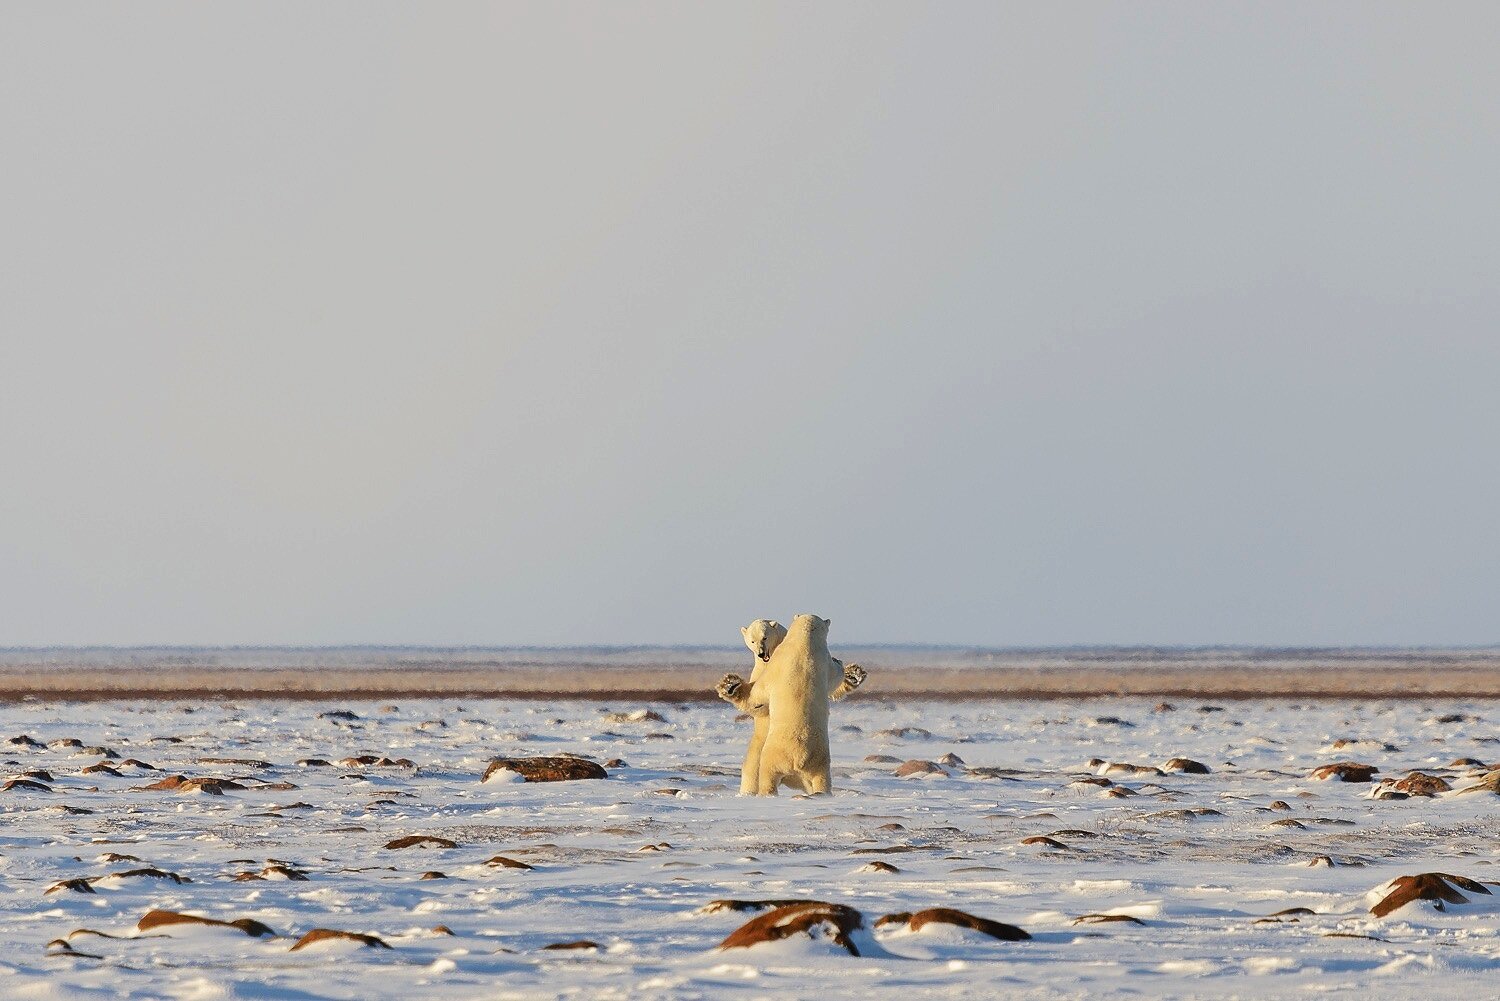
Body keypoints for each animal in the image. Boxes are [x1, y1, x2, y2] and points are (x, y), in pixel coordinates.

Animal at [717, 615, 870, 792]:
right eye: (752, 640)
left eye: (765, 637)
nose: (761, 653)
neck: (803, 645)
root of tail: (798, 762)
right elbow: (758, 706)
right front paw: (730, 685)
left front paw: (854, 674)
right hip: (771, 754)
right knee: (755, 774)